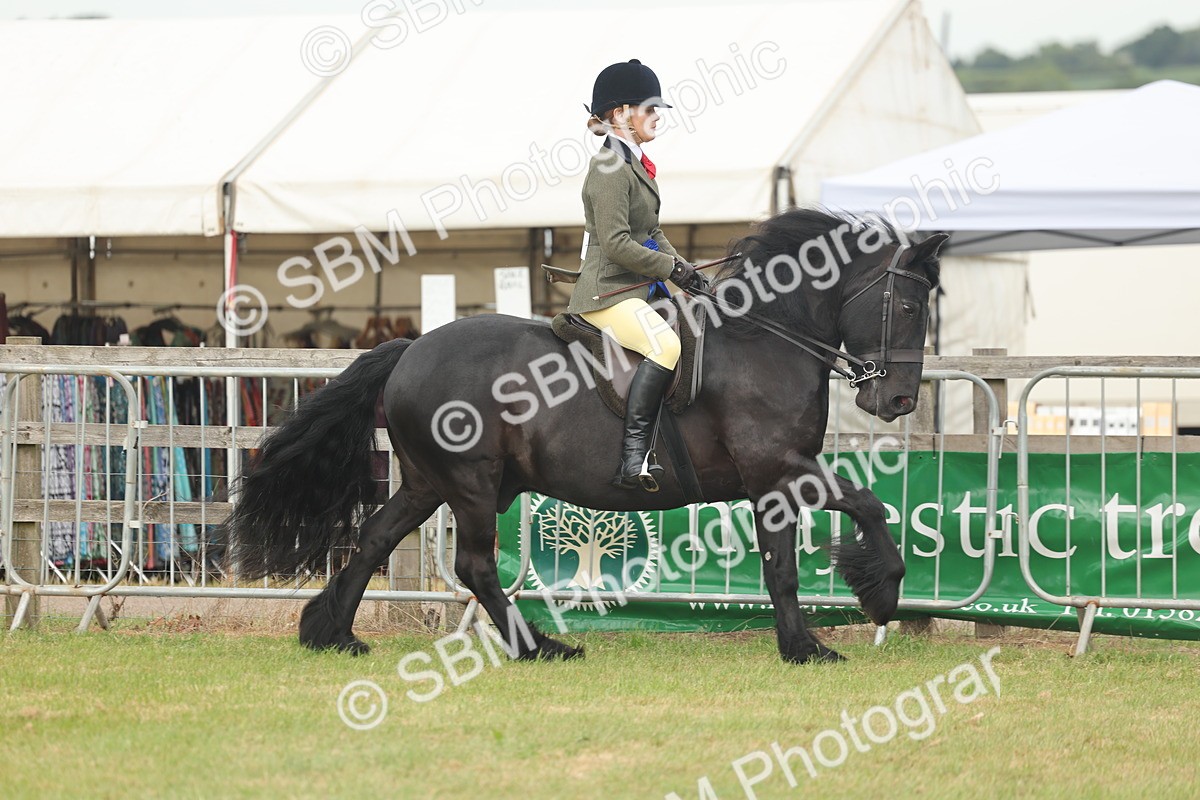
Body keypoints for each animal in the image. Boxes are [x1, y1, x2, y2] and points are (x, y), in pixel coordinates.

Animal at [223, 208, 947, 664]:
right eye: (910, 306)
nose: (898, 400)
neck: (765, 338)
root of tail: (408, 350)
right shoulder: (778, 467)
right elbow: (859, 510)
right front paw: (878, 594)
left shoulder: (774, 479)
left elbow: (788, 563)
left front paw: (808, 642)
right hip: (472, 482)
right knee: (475, 565)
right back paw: (539, 647)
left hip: (430, 482)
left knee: (376, 538)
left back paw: (332, 633)